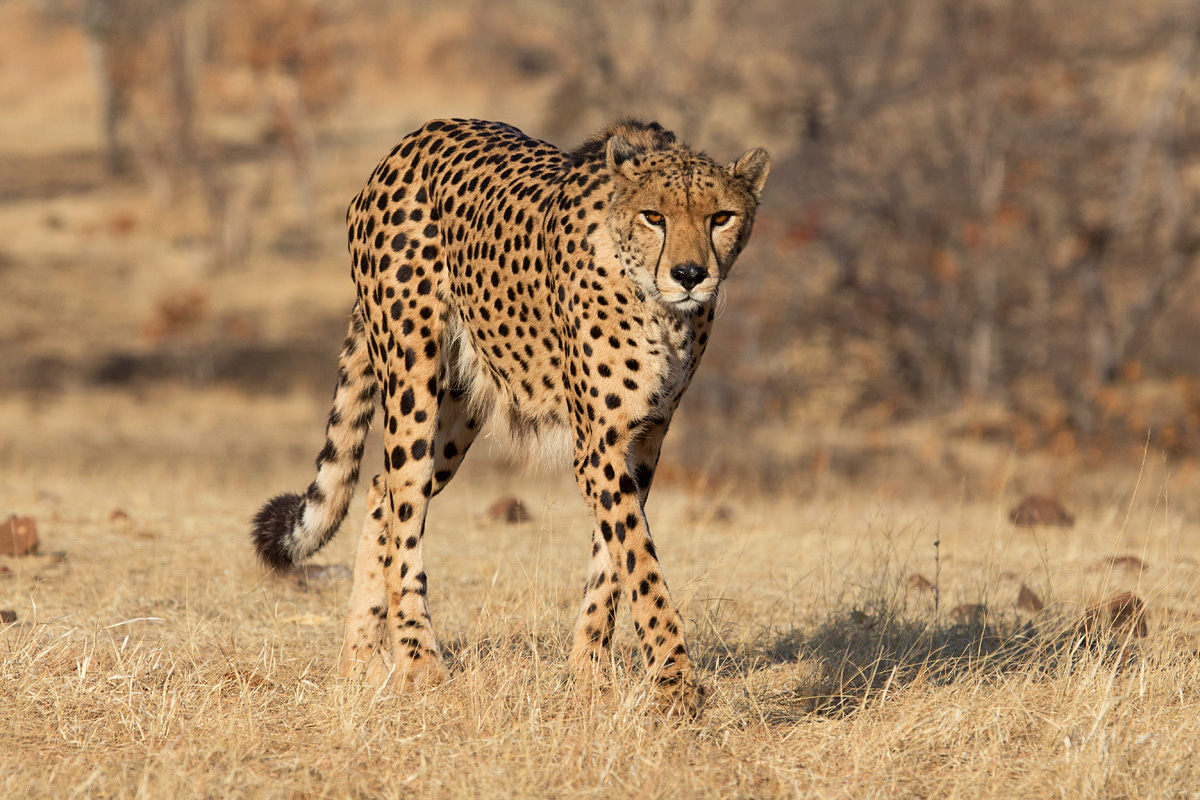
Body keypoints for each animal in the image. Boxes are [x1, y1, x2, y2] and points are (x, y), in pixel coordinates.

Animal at [251, 117, 769, 715]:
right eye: (654, 216)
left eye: (721, 217)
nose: (690, 274)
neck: (658, 306)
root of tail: (417, 135)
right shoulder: (598, 446)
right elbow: (640, 563)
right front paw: (676, 685)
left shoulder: (642, 439)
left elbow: (613, 561)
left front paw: (589, 676)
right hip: (412, 379)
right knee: (404, 505)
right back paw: (418, 661)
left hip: (458, 409)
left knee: (382, 488)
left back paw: (360, 658)